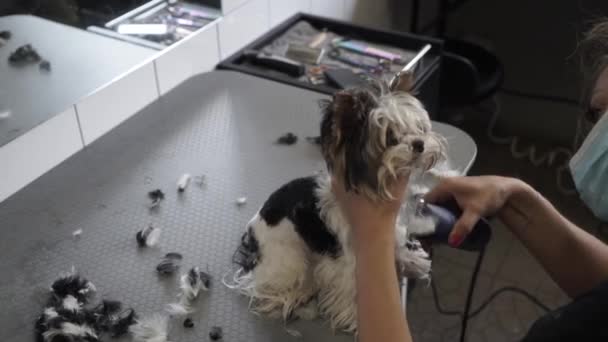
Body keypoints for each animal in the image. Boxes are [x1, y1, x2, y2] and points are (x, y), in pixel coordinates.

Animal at [228, 79, 446, 332]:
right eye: (390, 138)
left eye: (418, 129)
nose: (419, 143)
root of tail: (253, 233)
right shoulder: (346, 260)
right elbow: (350, 287)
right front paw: (354, 317)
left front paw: (409, 259)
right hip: (289, 256)